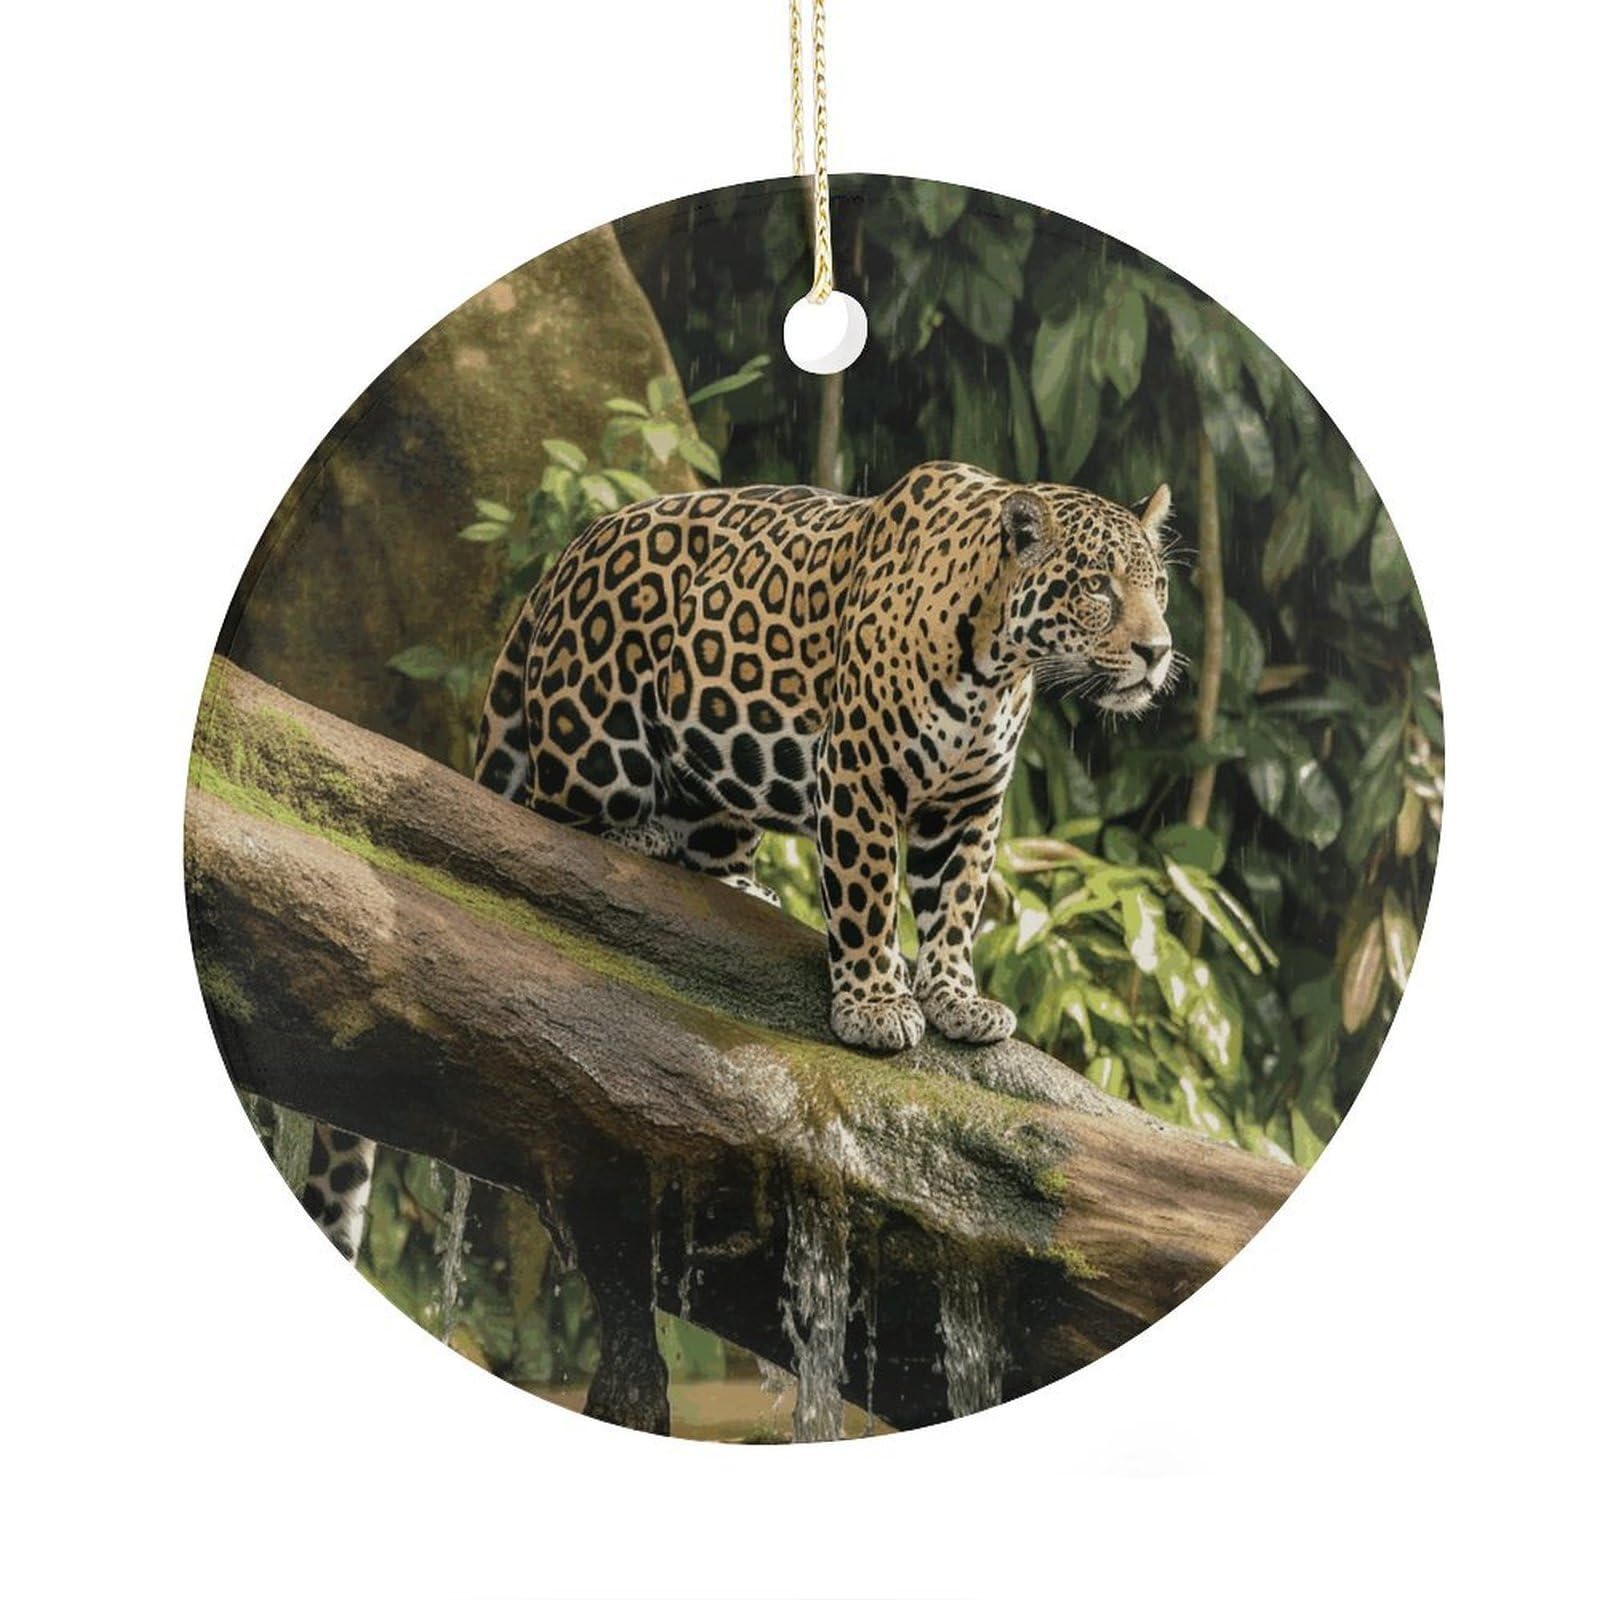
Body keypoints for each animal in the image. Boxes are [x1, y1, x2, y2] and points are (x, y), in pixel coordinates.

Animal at [471, 460, 1176, 1056]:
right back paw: (638, 837)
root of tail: (572, 546)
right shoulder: (859, 773)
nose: (1158, 650)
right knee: (544, 812)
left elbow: (956, 905)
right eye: (1098, 587)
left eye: (1160, 585)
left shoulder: (968, 804)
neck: (996, 669)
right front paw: (875, 1006)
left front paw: (956, 998)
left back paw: (742, 886)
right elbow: (868, 895)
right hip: (599, 752)